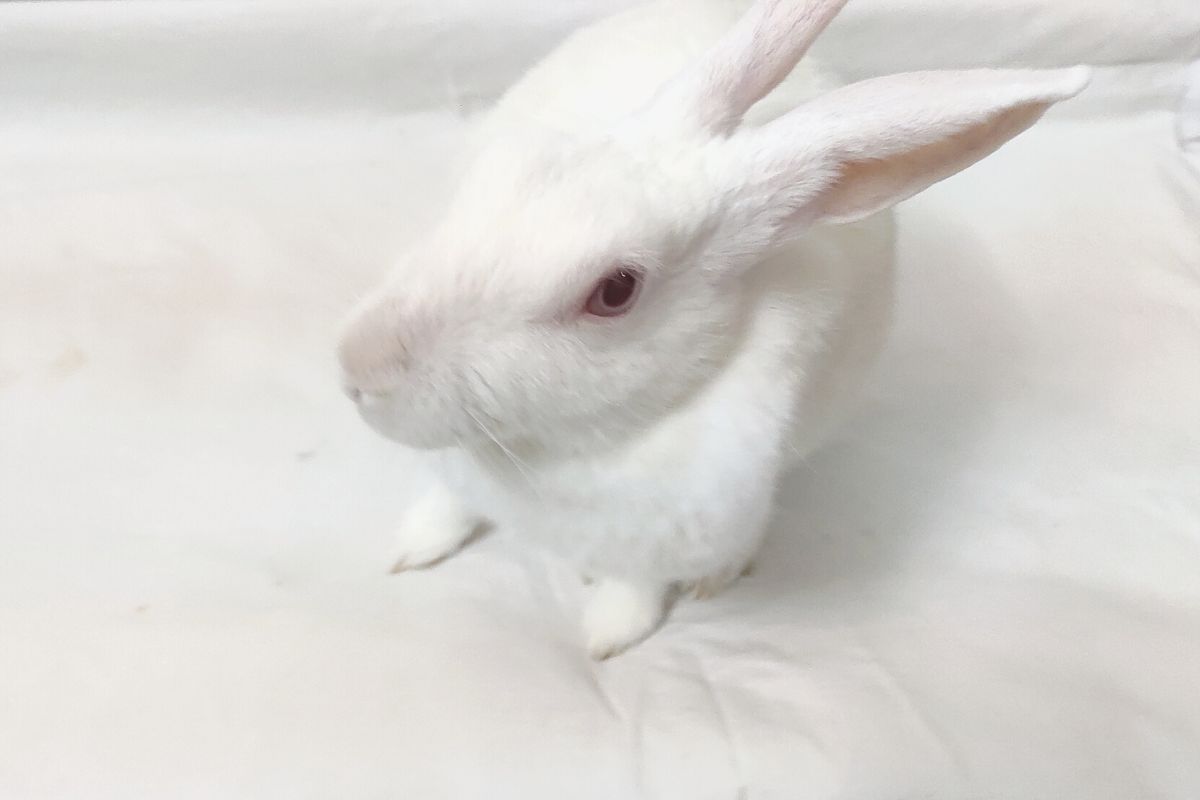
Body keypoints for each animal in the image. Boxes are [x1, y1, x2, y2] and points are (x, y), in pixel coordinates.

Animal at [337, 0, 1089, 659]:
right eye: (500, 170)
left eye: (614, 291)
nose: (356, 369)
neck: (562, 449)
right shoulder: (458, 474)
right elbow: (447, 501)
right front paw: (415, 546)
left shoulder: (672, 527)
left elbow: (633, 584)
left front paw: (609, 633)